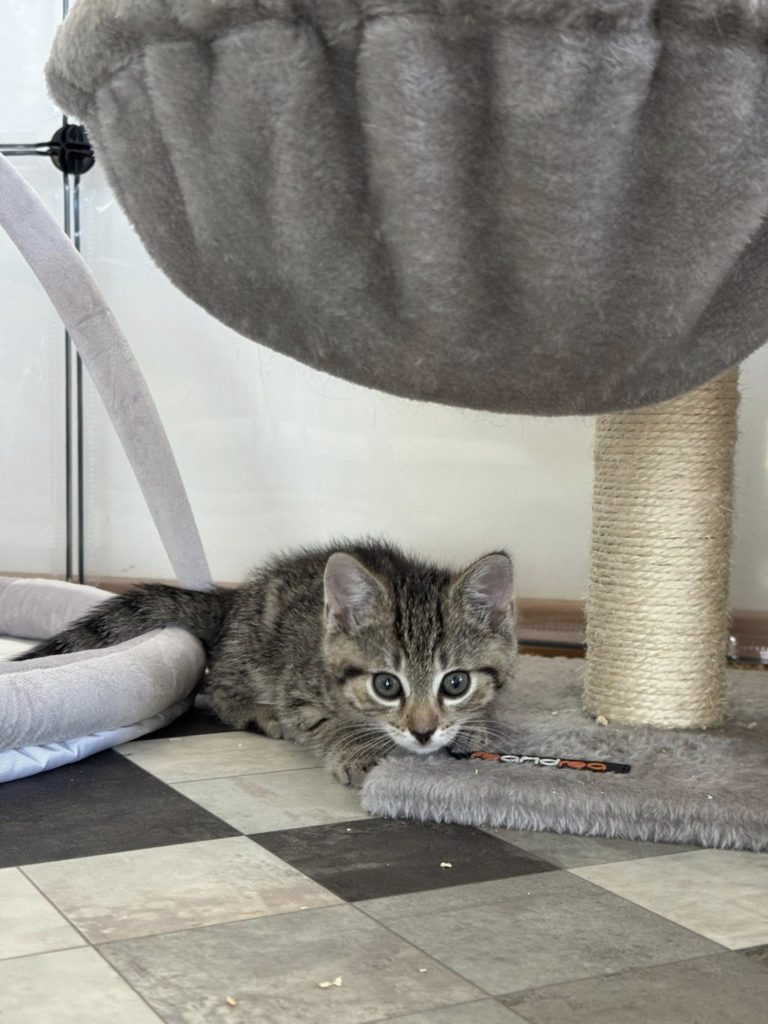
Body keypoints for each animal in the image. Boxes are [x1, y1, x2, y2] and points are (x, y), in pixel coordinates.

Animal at [15, 539, 516, 786]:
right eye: (387, 686)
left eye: (455, 683)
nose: (423, 732)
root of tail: (233, 599)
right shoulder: (297, 690)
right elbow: (327, 724)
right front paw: (358, 749)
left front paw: (474, 726)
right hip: (254, 654)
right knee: (215, 688)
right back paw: (258, 712)